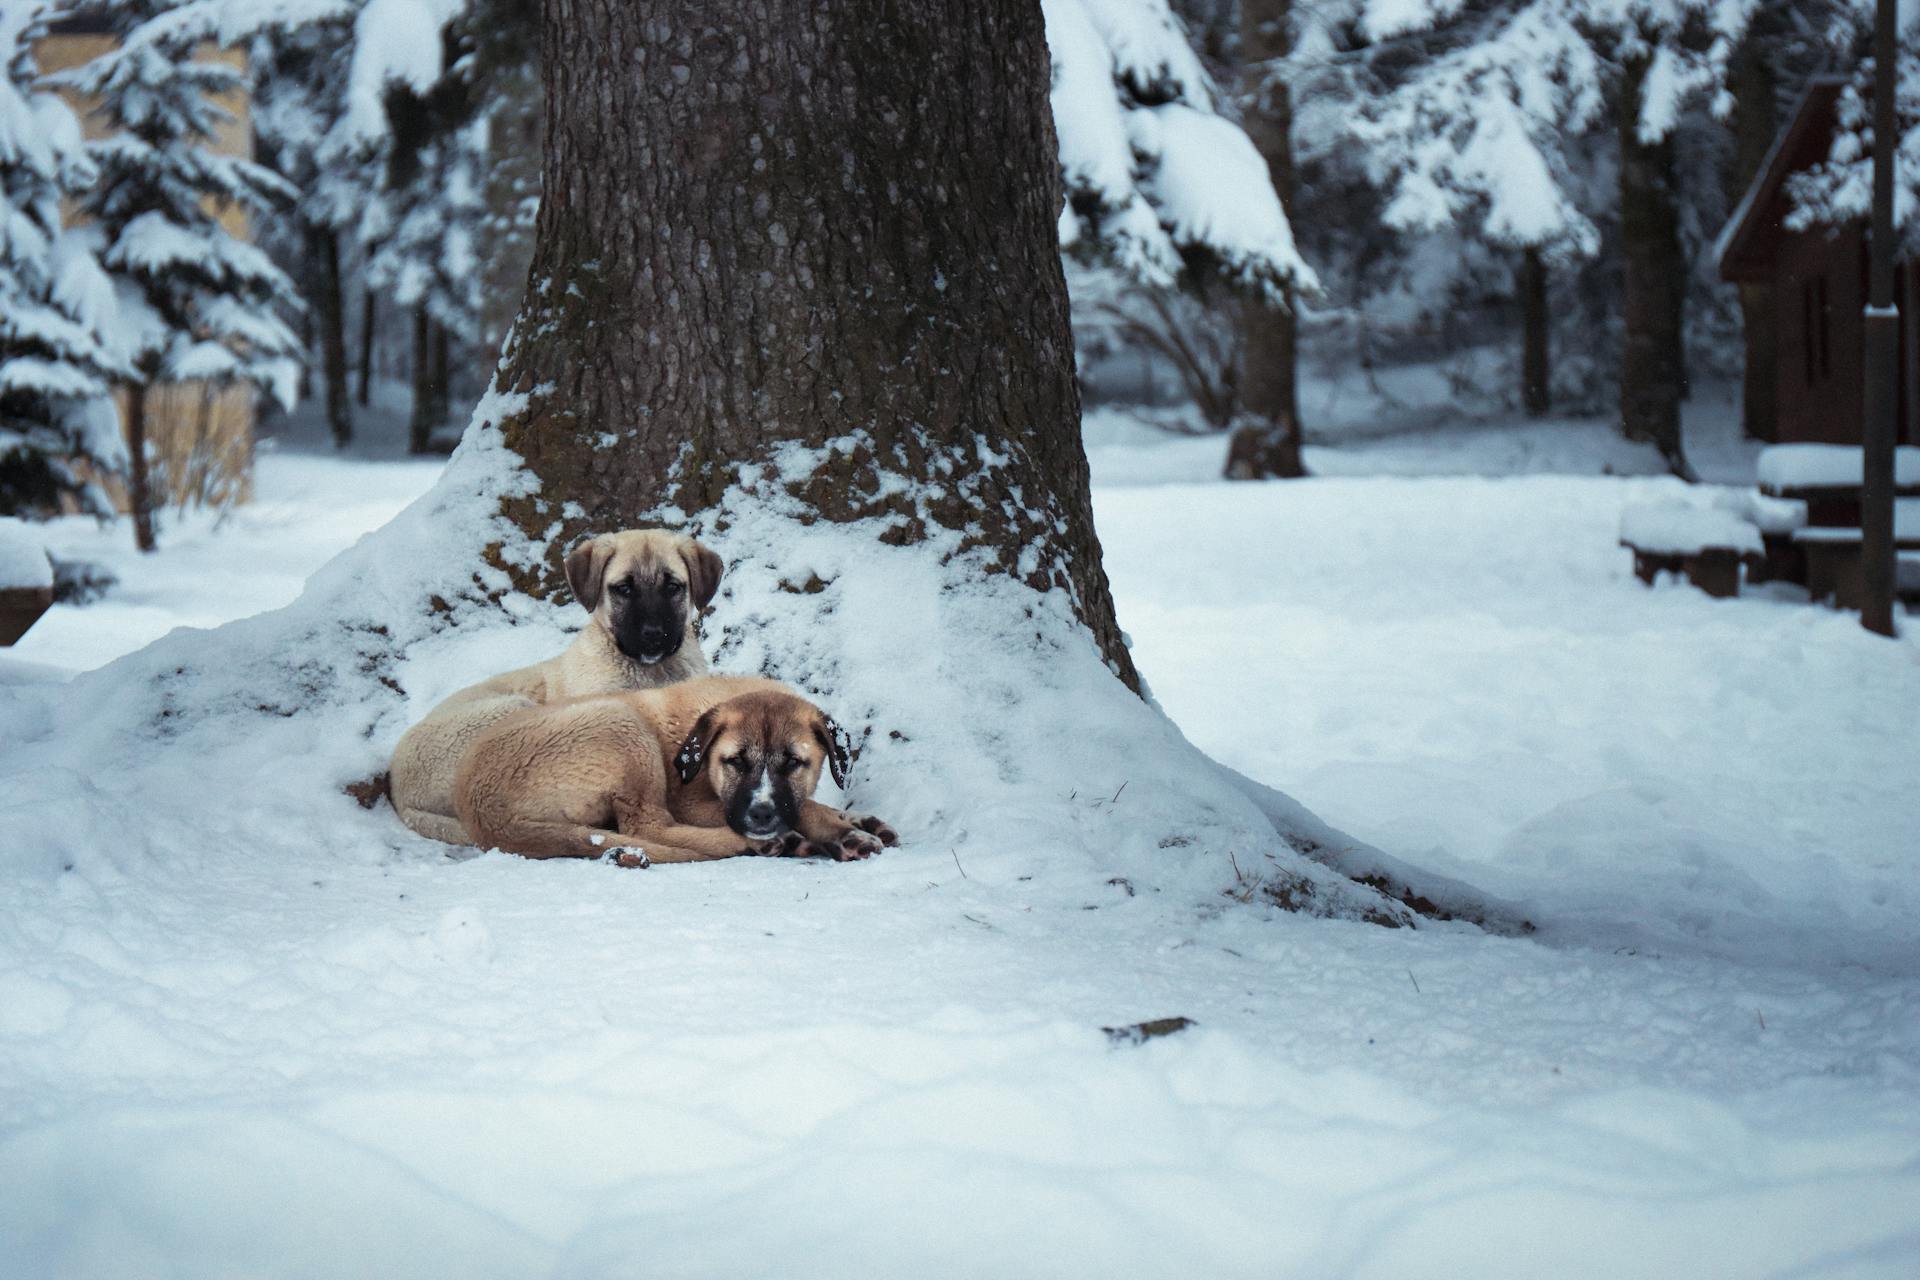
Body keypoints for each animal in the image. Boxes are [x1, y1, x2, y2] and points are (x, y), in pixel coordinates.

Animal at [389, 533, 725, 852]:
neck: (651, 670)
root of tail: (398, 792)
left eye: (673, 587)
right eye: (623, 589)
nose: (653, 635)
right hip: (511, 710)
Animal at [451, 671, 898, 871]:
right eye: (735, 761)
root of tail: (480, 813)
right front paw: (843, 834)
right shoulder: (695, 804)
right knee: (649, 825)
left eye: (793, 762)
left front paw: (858, 820)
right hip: (622, 726)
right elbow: (805, 808)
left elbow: (807, 801)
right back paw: (776, 842)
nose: (761, 816)